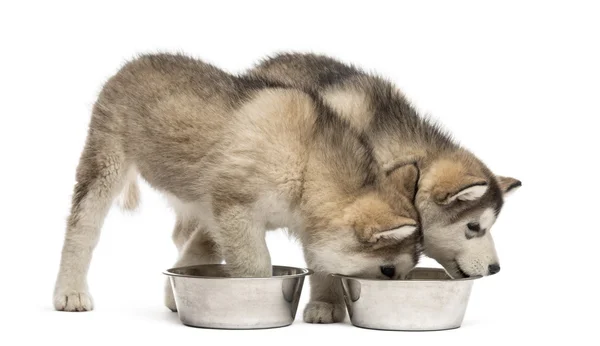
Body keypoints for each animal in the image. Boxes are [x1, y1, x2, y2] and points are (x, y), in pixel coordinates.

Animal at [55, 52, 422, 324]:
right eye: (388, 270)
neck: (306, 166)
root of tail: (133, 62)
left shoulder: (221, 213)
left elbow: (197, 251)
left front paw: (173, 293)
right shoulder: (235, 207)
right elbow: (254, 266)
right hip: (105, 164)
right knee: (81, 229)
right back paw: (70, 292)